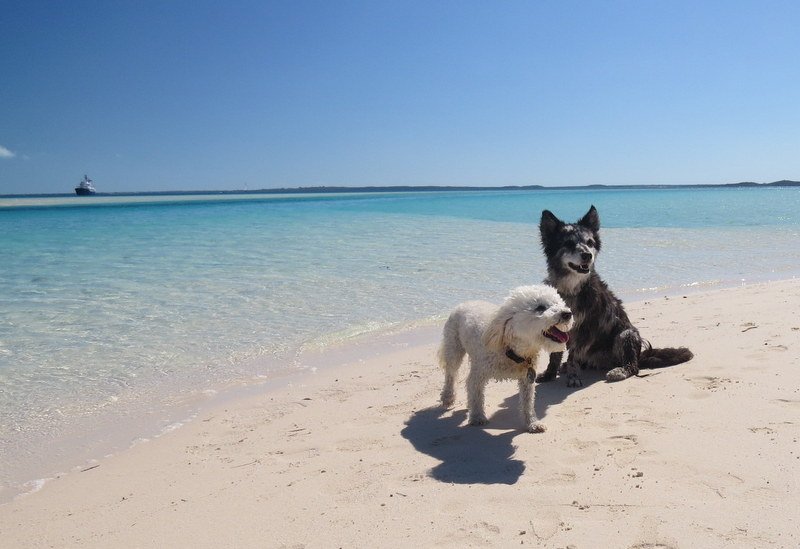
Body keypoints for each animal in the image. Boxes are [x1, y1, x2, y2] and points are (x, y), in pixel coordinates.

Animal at [438, 284, 576, 430]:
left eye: (559, 303)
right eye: (540, 308)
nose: (567, 314)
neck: (511, 350)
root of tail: (465, 302)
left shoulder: (527, 378)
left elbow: (527, 402)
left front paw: (532, 423)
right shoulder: (478, 374)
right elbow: (476, 395)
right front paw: (477, 417)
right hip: (453, 347)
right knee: (450, 374)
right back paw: (447, 397)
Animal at [536, 204, 692, 386]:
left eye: (590, 243)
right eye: (568, 243)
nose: (587, 255)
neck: (571, 288)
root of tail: (640, 356)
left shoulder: (583, 328)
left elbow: (573, 354)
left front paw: (573, 376)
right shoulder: (556, 326)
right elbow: (555, 355)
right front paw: (550, 374)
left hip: (626, 334)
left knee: (632, 366)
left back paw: (619, 371)